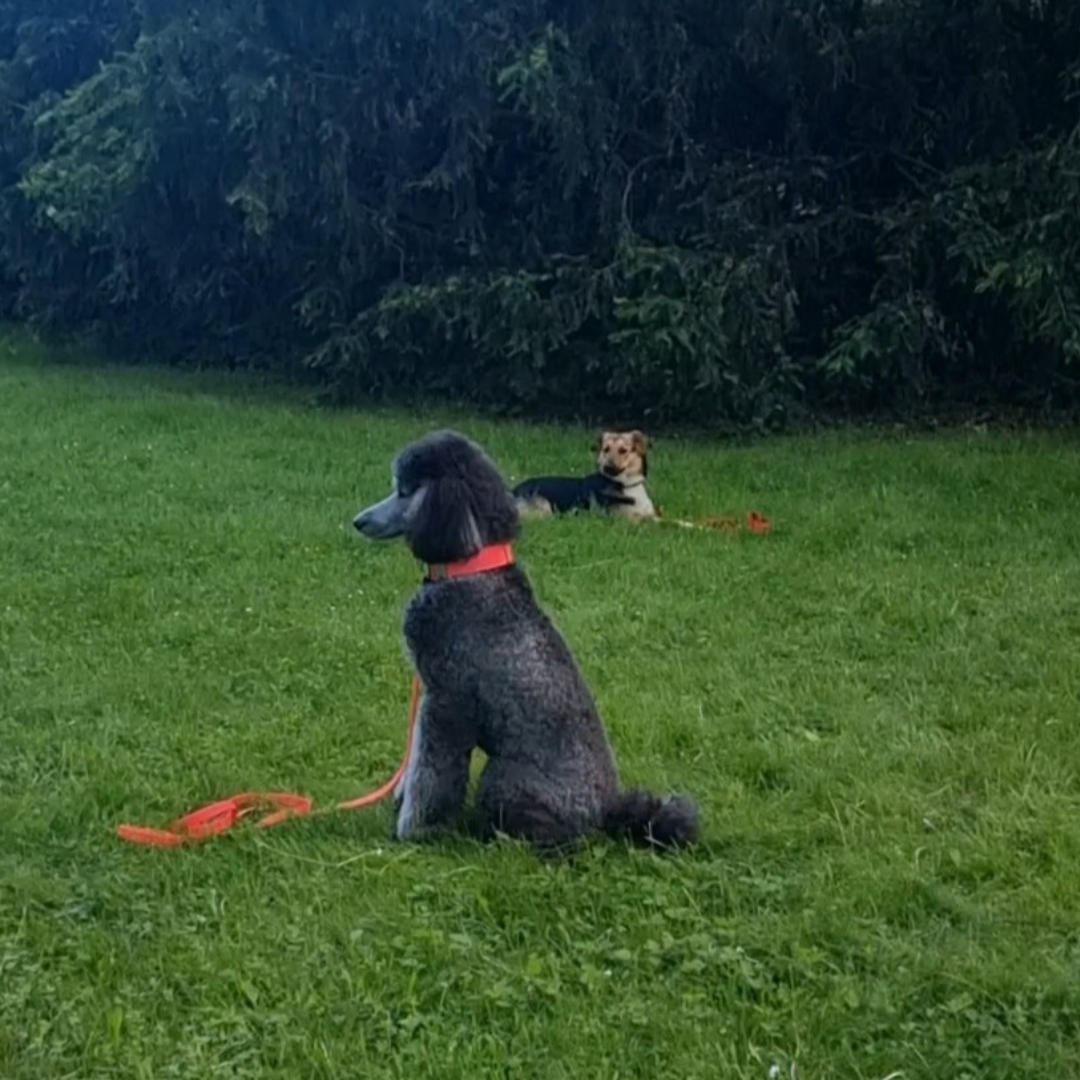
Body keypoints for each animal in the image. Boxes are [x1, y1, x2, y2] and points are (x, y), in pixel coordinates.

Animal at [512, 430, 657, 520]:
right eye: (606, 449)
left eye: (623, 450)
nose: (607, 467)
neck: (624, 485)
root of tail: (513, 491)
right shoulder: (626, 519)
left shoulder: (652, 514)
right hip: (545, 507)